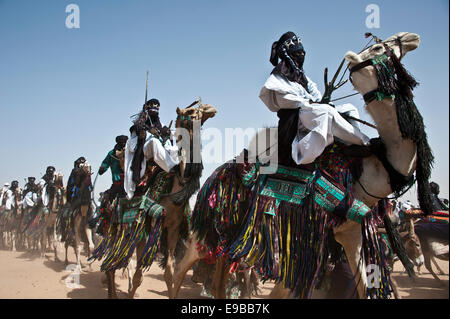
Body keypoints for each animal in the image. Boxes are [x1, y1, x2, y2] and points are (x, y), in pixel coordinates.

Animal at [169, 31, 432, 298]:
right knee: (182, 266)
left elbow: (364, 284)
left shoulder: (349, 232)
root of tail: (212, 177)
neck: (367, 171)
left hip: (229, 232)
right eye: (378, 47)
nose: (408, 37)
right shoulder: (303, 238)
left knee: (220, 274)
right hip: (208, 227)